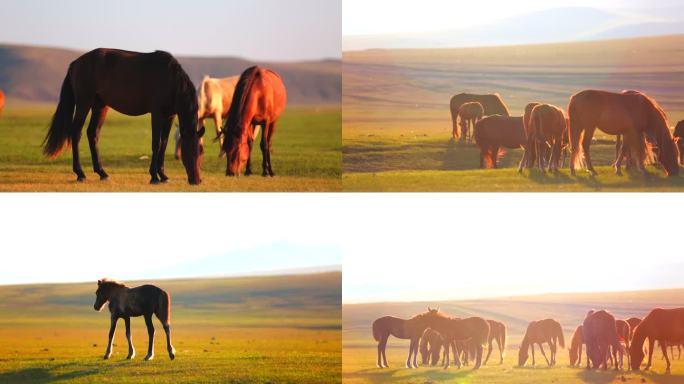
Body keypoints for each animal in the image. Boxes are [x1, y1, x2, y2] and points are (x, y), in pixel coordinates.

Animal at [40, 48, 203, 184]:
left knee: (92, 133)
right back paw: (80, 174)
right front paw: (154, 176)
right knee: (76, 133)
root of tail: (75, 64)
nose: (196, 180)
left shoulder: (170, 116)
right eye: (188, 151)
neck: (170, 79)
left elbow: (163, 143)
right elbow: (156, 143)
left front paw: (163, 175)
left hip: (100, 107)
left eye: (200, 152)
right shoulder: (157, 114)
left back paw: (102, 173)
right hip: (83, 103)